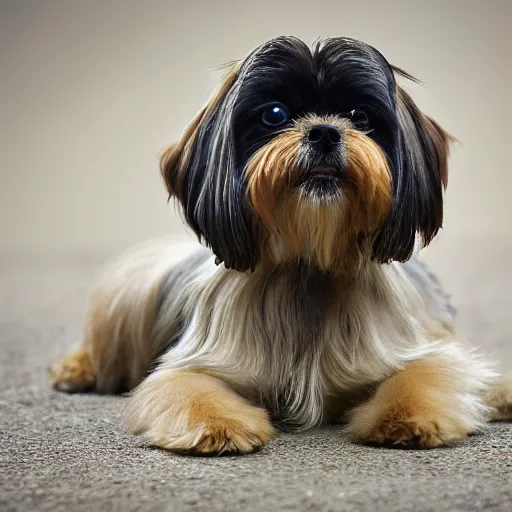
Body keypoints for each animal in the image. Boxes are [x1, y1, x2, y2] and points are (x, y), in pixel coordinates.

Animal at [49, 37, 512, 452]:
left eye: (359, 115)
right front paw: (217, 426)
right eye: (275, 114)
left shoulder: (417, 348)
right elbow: (187, 384)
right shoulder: (197, 362)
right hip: (131, 296)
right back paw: (77, 368)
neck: (308, 265)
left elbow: (426, 371)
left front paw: (406, 417)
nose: (324, 132)